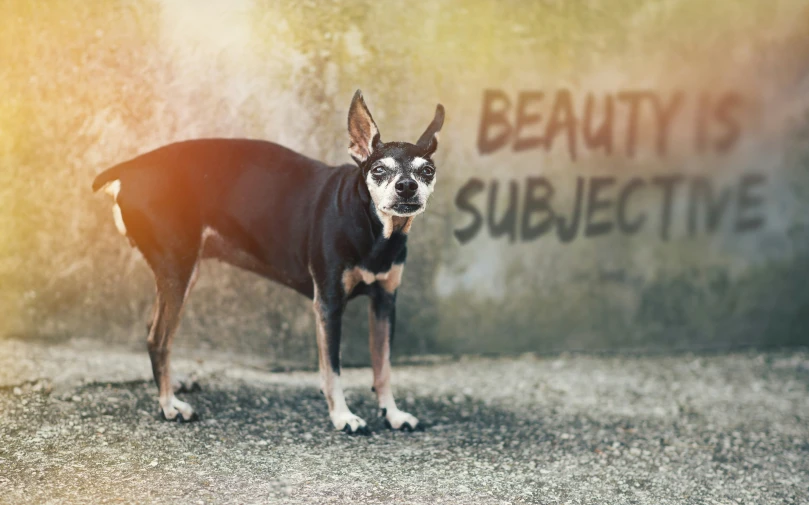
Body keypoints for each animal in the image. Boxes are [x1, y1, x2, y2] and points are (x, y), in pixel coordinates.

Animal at [92, 91, 446, 434]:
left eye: (427, 171)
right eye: (378, 170)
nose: (407, 186)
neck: (371, 226)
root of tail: (127, 169)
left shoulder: (385, 301)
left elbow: (383, 367)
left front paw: (393, 414)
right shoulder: (329, 303)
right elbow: (333, 368)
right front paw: (343, 416)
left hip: (180, 273)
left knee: (154, 329)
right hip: (178, 270)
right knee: (158, 339)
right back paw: (169, 405)